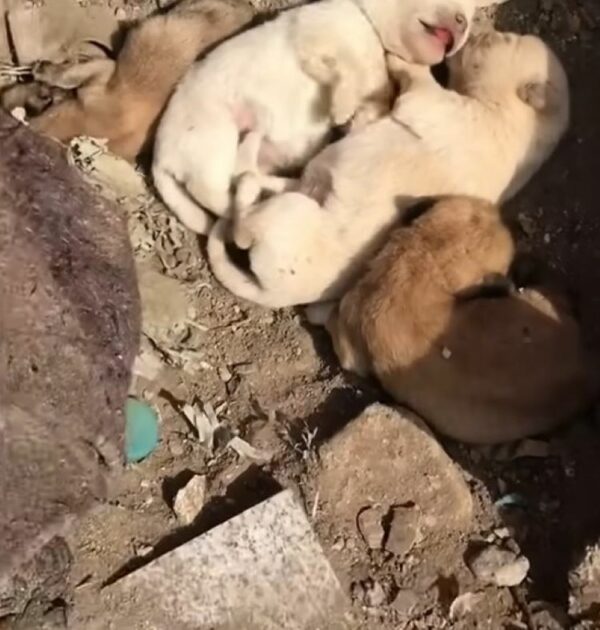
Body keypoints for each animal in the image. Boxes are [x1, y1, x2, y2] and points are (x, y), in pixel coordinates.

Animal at [209, 29, 568, 312]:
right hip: (299, 191)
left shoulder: (430, 102)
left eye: (499, 40)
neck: (516, 118)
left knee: (241, 227)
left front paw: (399, 58)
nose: (475, 33)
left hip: (291, 212)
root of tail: (276, 294)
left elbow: (417, 78)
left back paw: (248, 171)